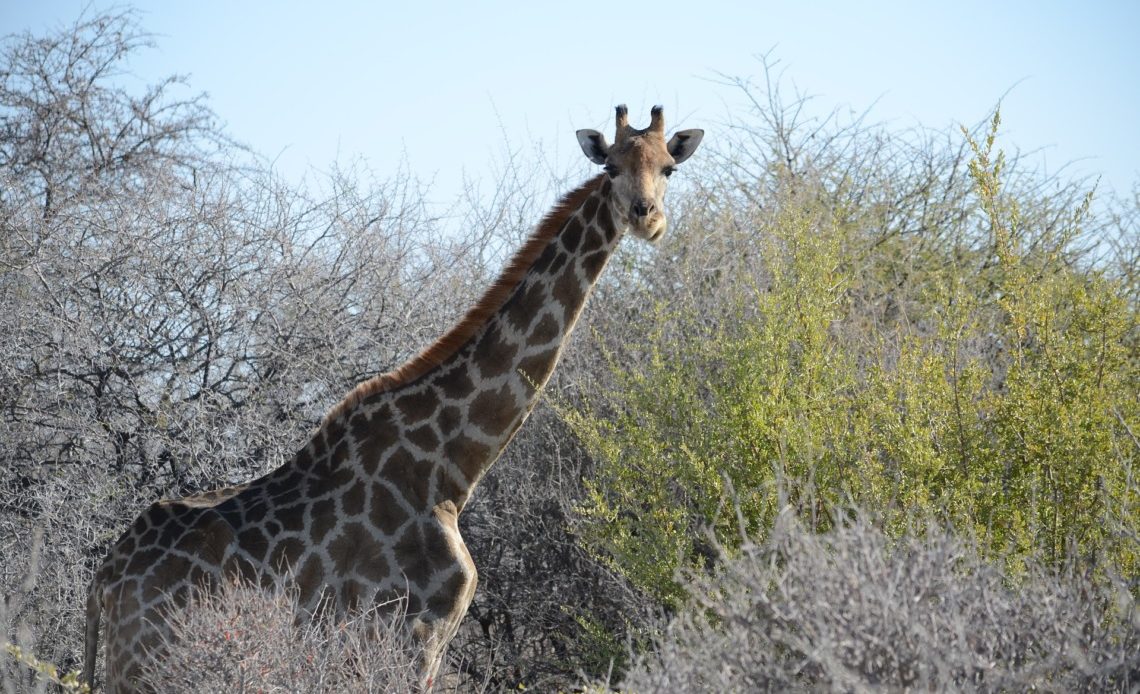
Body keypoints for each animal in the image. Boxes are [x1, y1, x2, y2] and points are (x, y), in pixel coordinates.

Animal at [80, 105, 697, 688]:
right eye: (609, 167)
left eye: (668, 167)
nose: (647, 217)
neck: (452, 469)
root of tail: (106, 576)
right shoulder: (412, 635)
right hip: (150, 658)